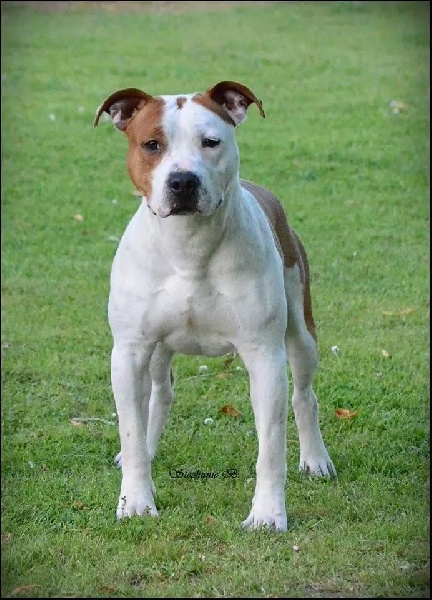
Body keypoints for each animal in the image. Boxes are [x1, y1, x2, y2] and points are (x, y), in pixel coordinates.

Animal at [94, 80, 336, 531]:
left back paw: (315, 459)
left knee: (304, 396)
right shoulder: (129, 351)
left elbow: (271, 445)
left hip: (301, 333)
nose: (182, 181)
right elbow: (131, 430)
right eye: (151, 144)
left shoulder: (264, 355)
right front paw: (135, 502)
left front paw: (268, 514)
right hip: (156, 351)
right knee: (159, 395)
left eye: (211, 142)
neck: (188, 247)